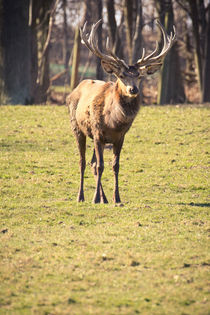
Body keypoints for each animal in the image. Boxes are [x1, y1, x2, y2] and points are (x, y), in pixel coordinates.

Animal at [67, 19, 176, 205]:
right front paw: (94, 199)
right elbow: (101, 165)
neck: (114, 123)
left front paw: (116, 198)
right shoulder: (97, 133)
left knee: (92, 163)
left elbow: (115, 166)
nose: (133, 89)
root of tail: (76, 87)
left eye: (140, 76)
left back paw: (103, 198)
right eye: (122, 75)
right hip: (77, 128)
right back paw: (81, 196)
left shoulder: (120, 137)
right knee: (83, 162)